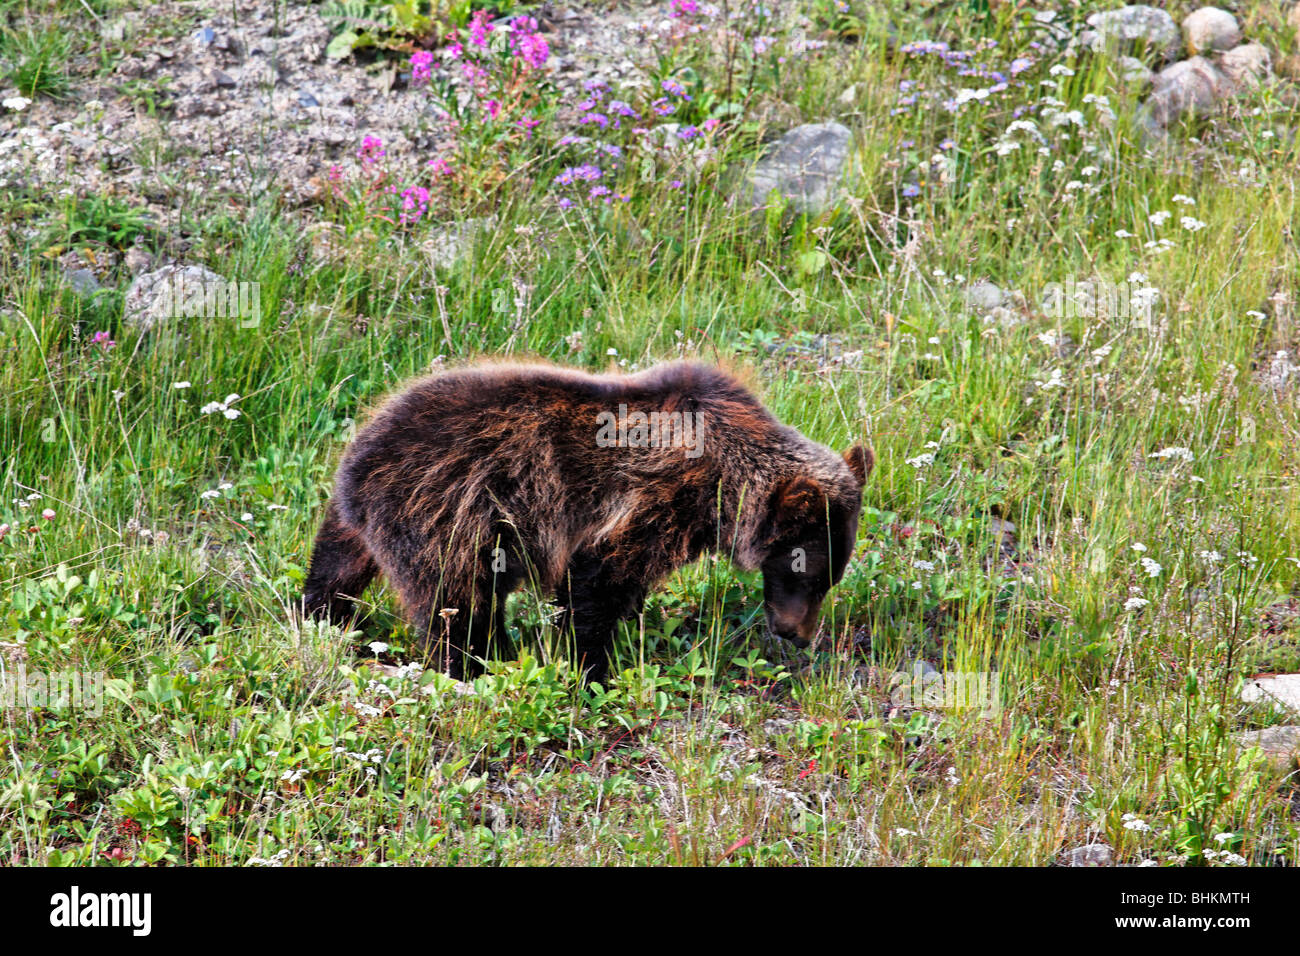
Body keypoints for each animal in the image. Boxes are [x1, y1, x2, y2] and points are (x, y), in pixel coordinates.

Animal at [304, 358, 873, 681]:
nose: (796, 633)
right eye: (807, 573)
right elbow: (597, 580)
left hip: (361, 518)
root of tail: (360, 457)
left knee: (334, 567)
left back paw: (320, 617)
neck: (723, 491)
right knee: (457, 601)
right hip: (446, 510)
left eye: (828, 578)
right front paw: (591, 665)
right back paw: (476, 663)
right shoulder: (650, 499)